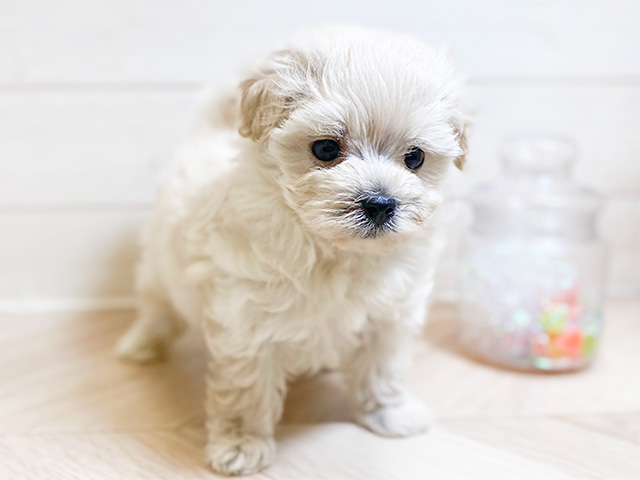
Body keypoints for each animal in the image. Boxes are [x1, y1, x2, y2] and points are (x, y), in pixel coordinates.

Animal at [117, 26, 466, 475]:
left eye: (415, 157)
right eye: (325, 149)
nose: (380, 204)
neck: (335, 251)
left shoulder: (389, 316)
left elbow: (381, 369)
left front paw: (390, 414)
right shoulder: (245, 322)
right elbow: (245, 390)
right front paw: (241, 444)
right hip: (159, 268)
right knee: (156, 308)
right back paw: (140, 345)